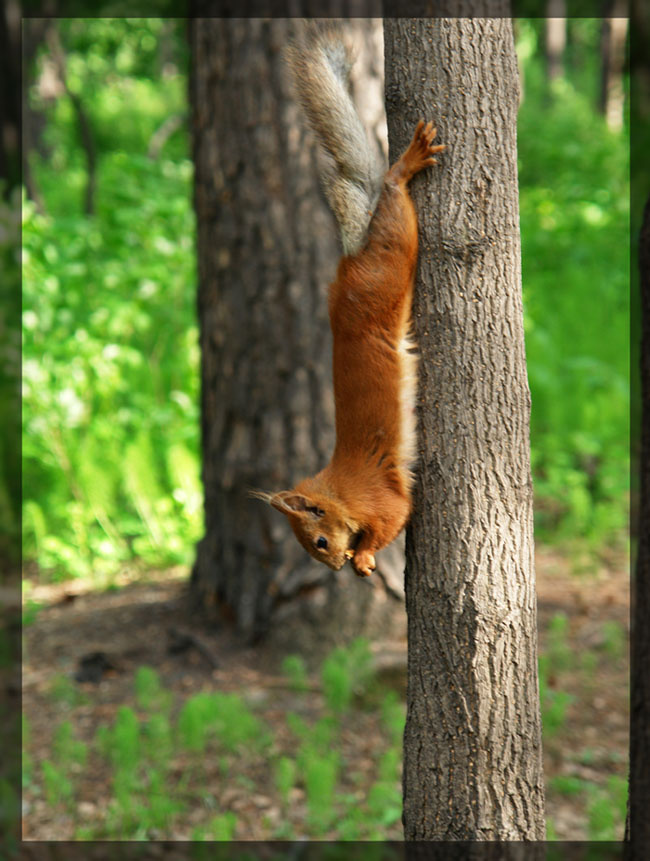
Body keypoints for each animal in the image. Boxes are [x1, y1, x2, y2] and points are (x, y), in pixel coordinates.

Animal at [253, 22, 445, 578]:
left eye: (318, 541)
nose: (334, 567)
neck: (338, 491)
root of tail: (350, 263)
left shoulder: (380, 498)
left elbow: (395, 517)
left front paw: (363, 557)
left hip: (391, 266)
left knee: (394, 198)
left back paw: (405, 165)